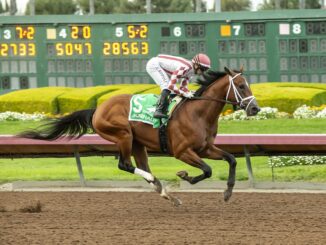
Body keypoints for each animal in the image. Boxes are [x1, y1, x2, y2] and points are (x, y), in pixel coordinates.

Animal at [19, 66, 260, 205]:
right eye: (241, 86)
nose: (255, 108)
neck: (198, 113)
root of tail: (97, 109)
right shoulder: (182, 151)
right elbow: (208, 170)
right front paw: (185, 176)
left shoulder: (205, 148)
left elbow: (231, 159)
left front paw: (228, 192)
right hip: (123, 135)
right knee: (125, 165)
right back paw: (157, 183)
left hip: (138, 143)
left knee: (141, 166)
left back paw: (166, 193)